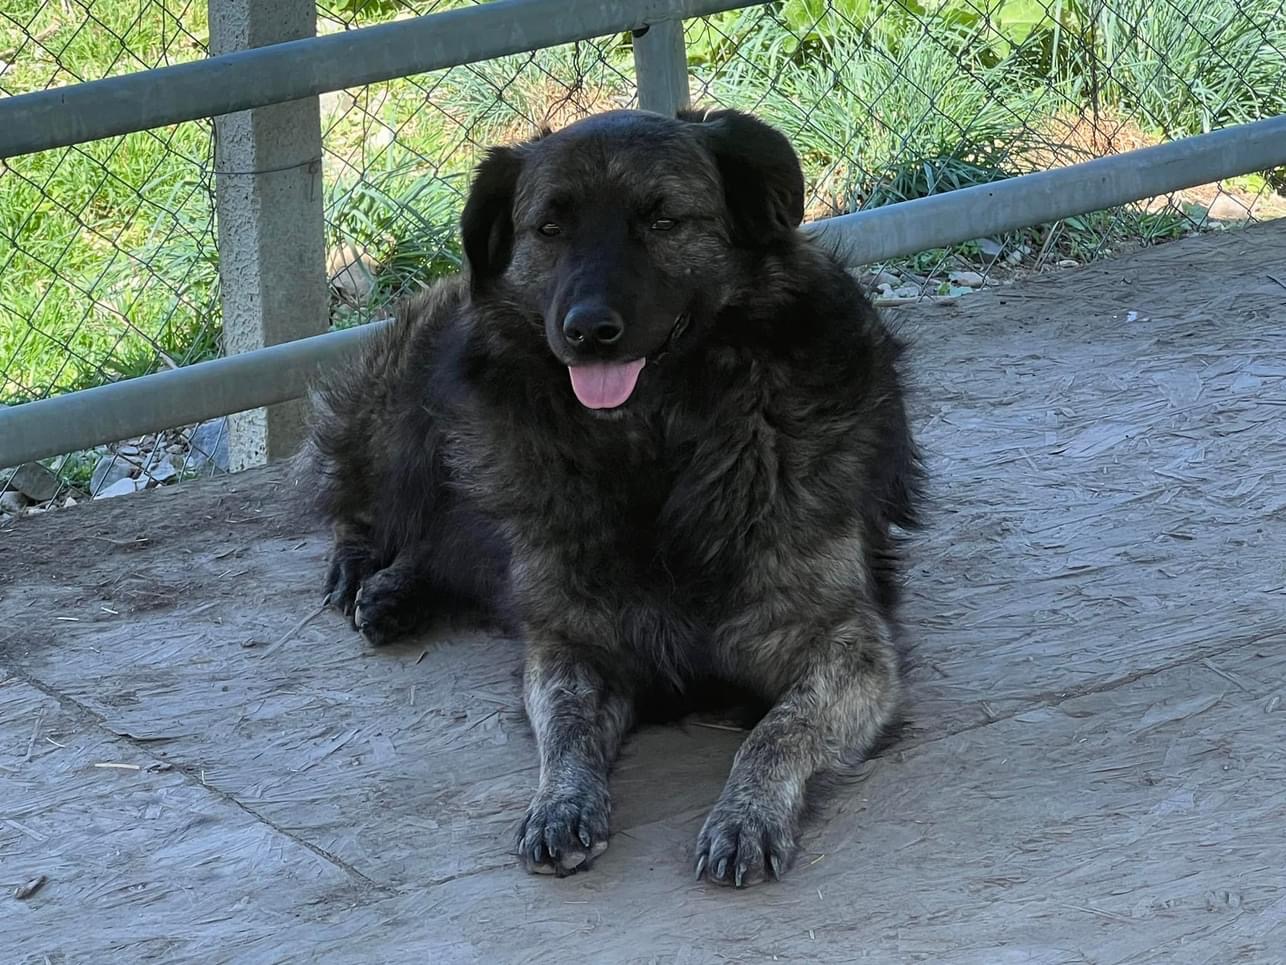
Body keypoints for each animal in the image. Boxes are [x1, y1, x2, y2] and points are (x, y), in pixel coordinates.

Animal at [305, 107, 923, 888]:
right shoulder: (571, 643)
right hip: (406, 419)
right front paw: (560, 805)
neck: (656, 450)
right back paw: (370, 574)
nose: (589, 332)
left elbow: (776, 730)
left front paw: (746, 815)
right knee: (371, 505)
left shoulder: (848, 646)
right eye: (549, 227)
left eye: (662, 220)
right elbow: (565, 730)